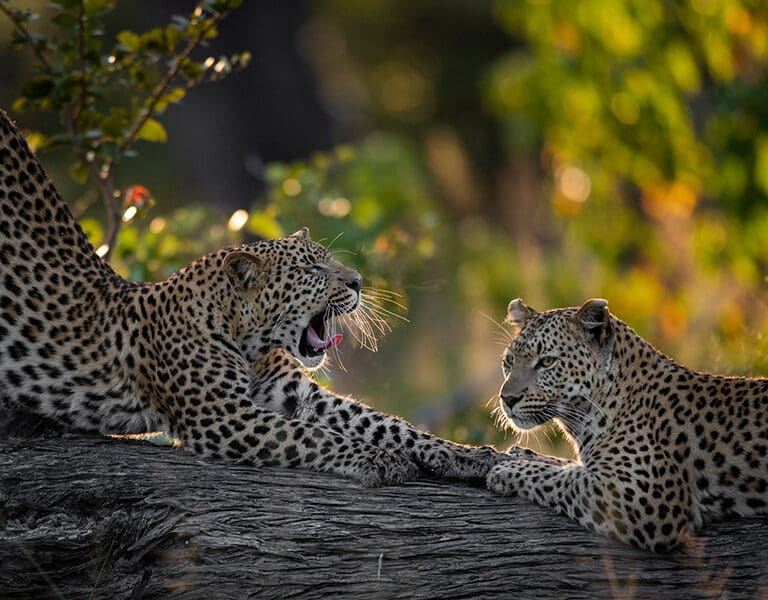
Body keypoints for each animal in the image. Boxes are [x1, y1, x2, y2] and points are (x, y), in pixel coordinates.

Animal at [0, 109, 498, 487]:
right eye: (313, 270)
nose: (358, 281)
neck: (247, 337)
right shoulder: (224, 416)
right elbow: (314, 437)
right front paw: (379, 459)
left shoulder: (294, 392)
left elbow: (386, 423)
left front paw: (466, 455)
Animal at [485, 297, 768, 553]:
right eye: (509, 361)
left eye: (547, 361)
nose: (507, 399)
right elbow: (568, 466)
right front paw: (519, 454)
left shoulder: (642, 498)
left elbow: (562, 479)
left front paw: (507, 470)